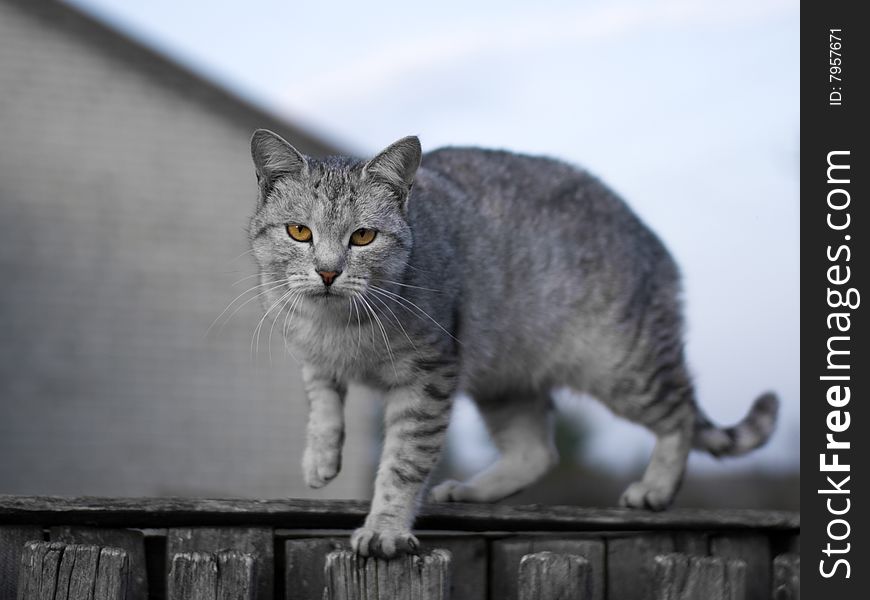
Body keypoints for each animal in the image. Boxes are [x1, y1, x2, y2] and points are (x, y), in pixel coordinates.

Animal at [247, 129, 784, 560]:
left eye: (362, 237)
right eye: (299, 231)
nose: (328, 272)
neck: (337, 326)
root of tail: (654, 240)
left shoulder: (429, 375)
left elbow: (403, 463)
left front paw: (385, 529)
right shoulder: (312, 356)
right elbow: (322, 405)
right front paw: (319, 459)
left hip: (624, 366)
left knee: (681, 414)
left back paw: (655, 488)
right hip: (504, 381)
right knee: (537, 451)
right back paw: (470, 490)